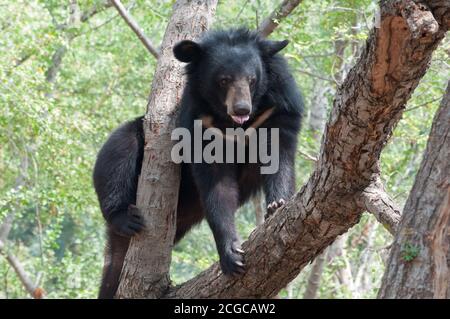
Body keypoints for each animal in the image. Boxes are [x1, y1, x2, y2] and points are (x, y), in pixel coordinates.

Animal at [93, 28, 304, 300]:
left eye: (252, 80)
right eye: (223, 80)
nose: (242, 108)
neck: (231, 124)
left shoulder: (276, 110)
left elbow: (278, 159)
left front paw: (276, 206)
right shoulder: (201, 125)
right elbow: (217, 186)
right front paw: (231, 255)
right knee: (119, 151)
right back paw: (126, 219)